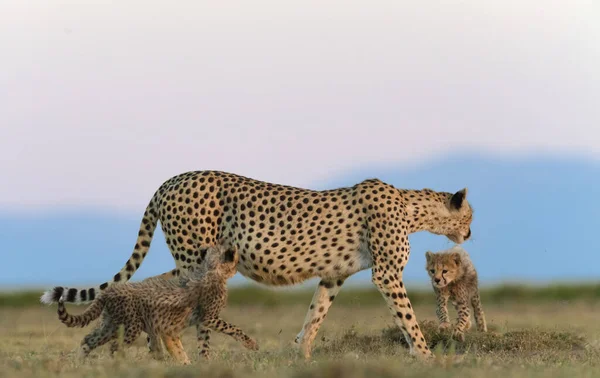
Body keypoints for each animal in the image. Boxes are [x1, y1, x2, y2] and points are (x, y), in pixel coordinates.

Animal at [42, 171, 474, 360]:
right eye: (470, 215)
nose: (470, 233)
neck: (412, 206)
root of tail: (171, 179)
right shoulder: (385, 273)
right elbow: (408, 318)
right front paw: (427, 356)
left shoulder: (333, 275)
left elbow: (315, 314)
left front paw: (301, 355)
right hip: (197, 259)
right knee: (186, 308)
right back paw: (190, 359)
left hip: (191, 260)